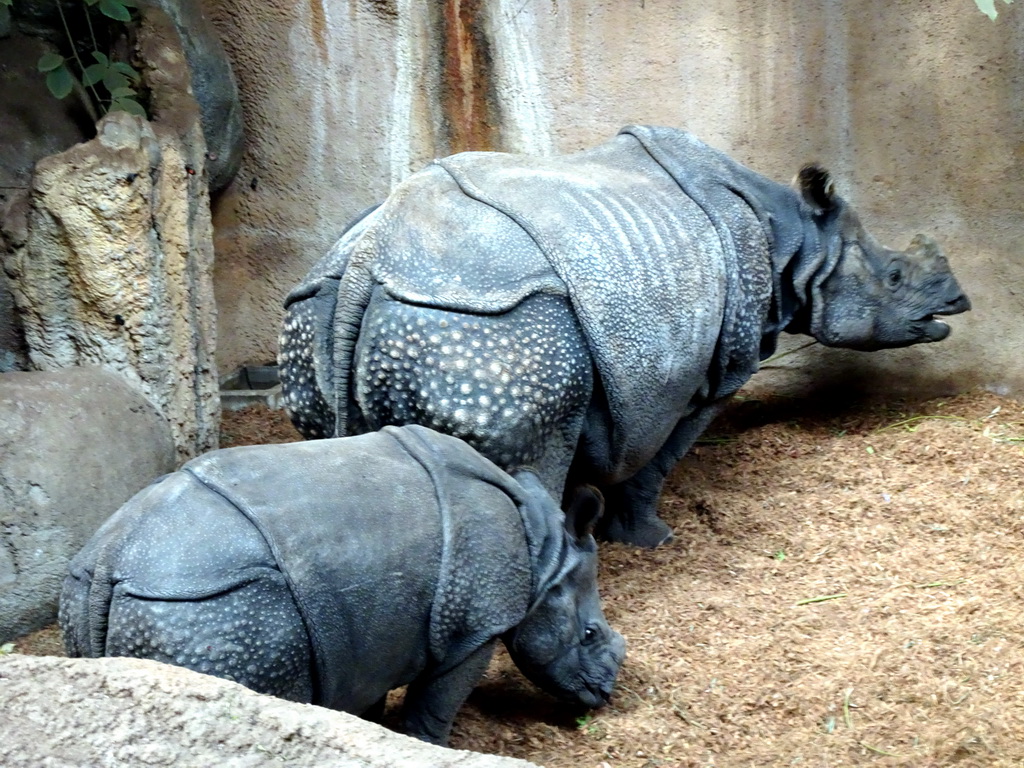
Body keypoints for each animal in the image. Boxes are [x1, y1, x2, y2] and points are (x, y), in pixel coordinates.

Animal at [64, 428, 626, 745]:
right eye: (591, 634)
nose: (604, 695)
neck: (543, 553)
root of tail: (113, 557)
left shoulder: (371, 633)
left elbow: (366, 694)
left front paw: (366, 732)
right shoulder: (473, 626)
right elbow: (438, 700)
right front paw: (428, 748)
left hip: (95, 590)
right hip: (213, 608)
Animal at [278, 126, 966, 548]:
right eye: (895, 276)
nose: (955, 304)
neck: (798, 239)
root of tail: (373, 254)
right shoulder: (720, 366)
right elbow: (658, 458)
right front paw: (649, 539)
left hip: (322, 308)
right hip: (485, 326)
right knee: (527, 461)